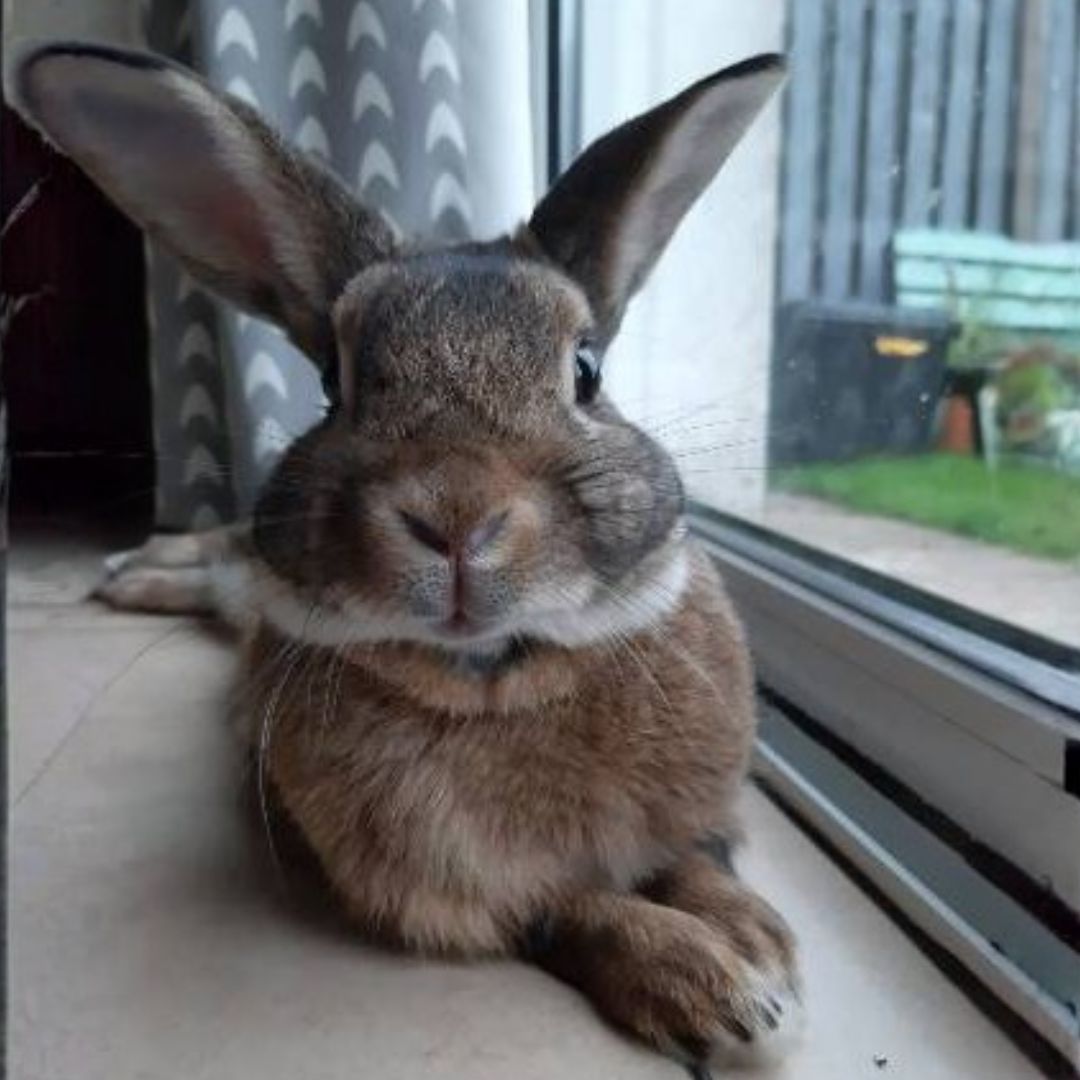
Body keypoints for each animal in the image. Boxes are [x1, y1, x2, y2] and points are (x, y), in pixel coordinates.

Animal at [14, 41, 801, 1069]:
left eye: (586, 370)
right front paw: (707, 985)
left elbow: (694, 860)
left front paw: (755, 937)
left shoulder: (695, 815)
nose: (457, 512)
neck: (499, 680)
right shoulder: (470, 900)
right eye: (332, 381)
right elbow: (582, 912)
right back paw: (130, 570)